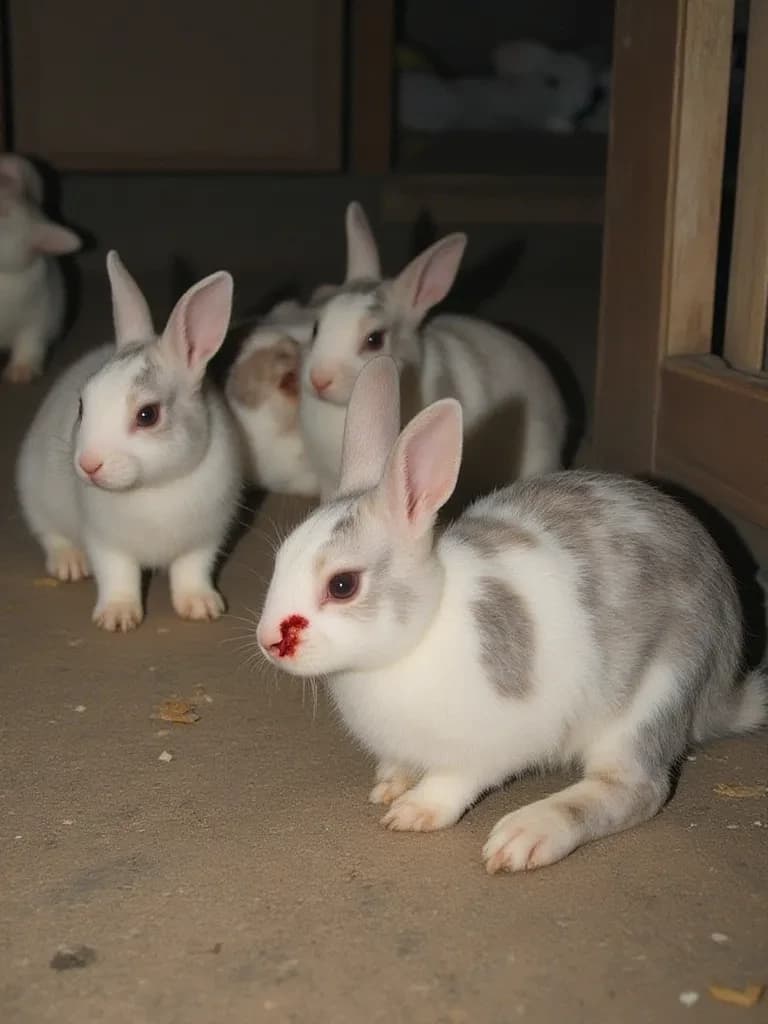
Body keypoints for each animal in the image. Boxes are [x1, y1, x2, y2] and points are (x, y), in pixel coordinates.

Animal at [16, 251, 241, 632]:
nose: (88, 464)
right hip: (37, 496)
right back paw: (70, 564)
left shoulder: (204, 539)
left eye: (147, 415)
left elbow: (192, 571)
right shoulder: (106, 543)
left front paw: (201, 607)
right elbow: (117, 576)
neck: (155, 488)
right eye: (82, 404)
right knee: (50, 533)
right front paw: (117, 617)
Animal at [257, 357, 767, 873]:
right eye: (280, 558)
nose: (269, 642)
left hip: (653, 696)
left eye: (343, 585)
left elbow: (455, 780)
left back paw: (525, 834)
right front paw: (389, 785)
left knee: (636, 789)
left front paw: (413, 811)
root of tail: (720, 688)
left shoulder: (489, 744)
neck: (420, 632)